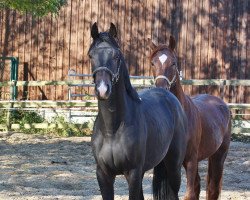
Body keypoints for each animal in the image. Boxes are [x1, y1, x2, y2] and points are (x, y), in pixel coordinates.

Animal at [90, 22, 188, 199]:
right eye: (90, 56)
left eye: (116, 56)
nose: (102, 89)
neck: (112, 130)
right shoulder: (103, 174)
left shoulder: (133, 173)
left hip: (174, 166)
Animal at [148, 36, 232, 200]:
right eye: (153, 63)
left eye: (173, 63)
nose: (162, 89)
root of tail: (221, 103)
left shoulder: (191, 161)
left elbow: (189, 194)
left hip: (219, 156)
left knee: (212, 188)